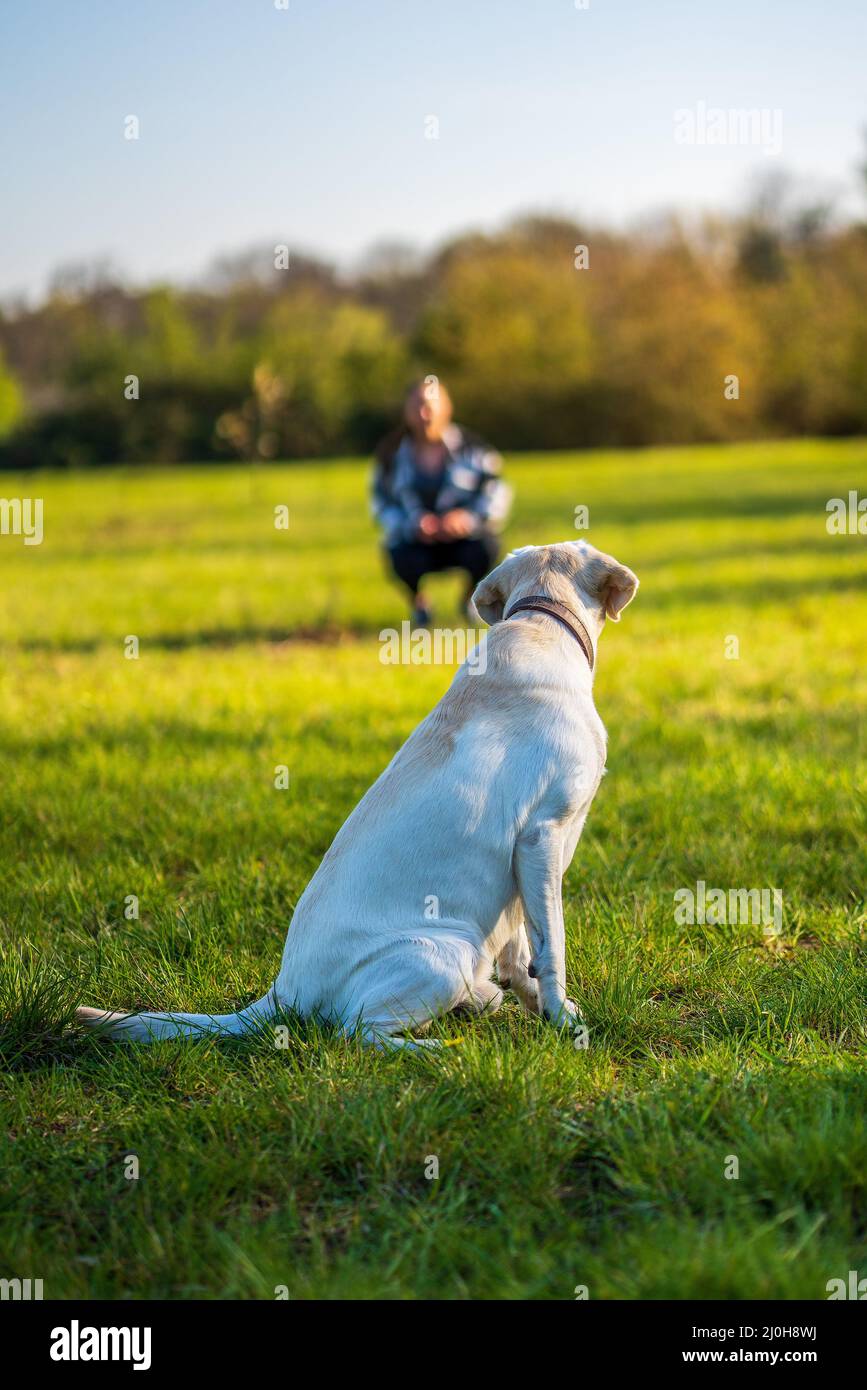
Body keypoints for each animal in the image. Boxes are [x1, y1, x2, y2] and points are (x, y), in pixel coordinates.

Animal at [77, 536, 636, 1045]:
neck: (541, 623)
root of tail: (283, 991)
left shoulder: (519, 864)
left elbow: (520, 949)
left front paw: (538, 1006)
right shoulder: (543, 836)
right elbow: (551, 944)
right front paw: (563, 1020)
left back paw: (477, 1001)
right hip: (443, 951)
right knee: (358, 1032)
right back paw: (436, 1048)